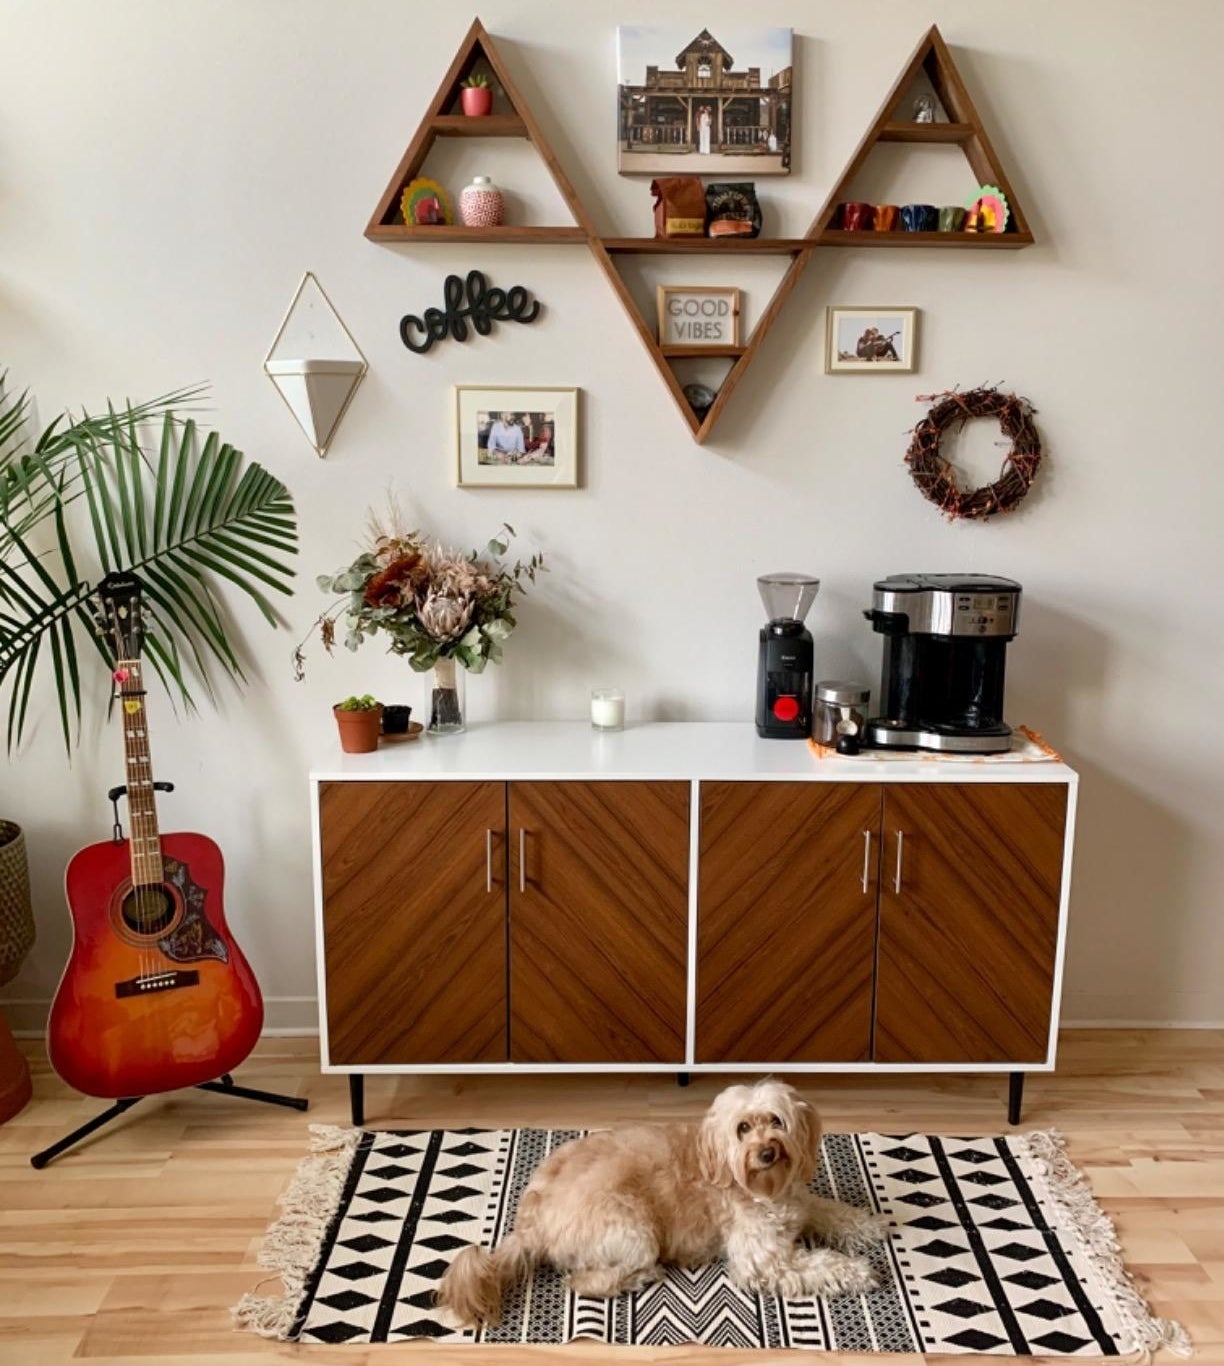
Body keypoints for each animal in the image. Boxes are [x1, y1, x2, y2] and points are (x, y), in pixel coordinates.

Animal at [434, 1076, 885, 1322]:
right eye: (742, 1129)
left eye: (776, 1121)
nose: (767, 1152)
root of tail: (532, 1222)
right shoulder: (765, 1261)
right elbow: (820, 1264)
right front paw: (859, 1271)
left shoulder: (800, 1203)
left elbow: (830, 1211)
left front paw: (869, 1224)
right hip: (635, 1231)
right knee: (584, 1282)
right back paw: (640, 1277)